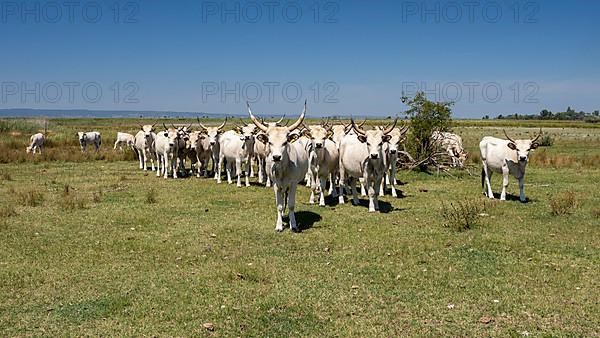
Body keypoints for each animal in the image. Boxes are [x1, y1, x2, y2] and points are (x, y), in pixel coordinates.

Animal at [247, 101, 310, 232]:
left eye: (285, 142)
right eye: (270, 142)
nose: (276, 157)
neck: (282, 170)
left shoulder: (293, 185)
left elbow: (291, 205)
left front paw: (293, 224)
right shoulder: (276, 185)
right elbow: (279, 206)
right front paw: (279, 225)